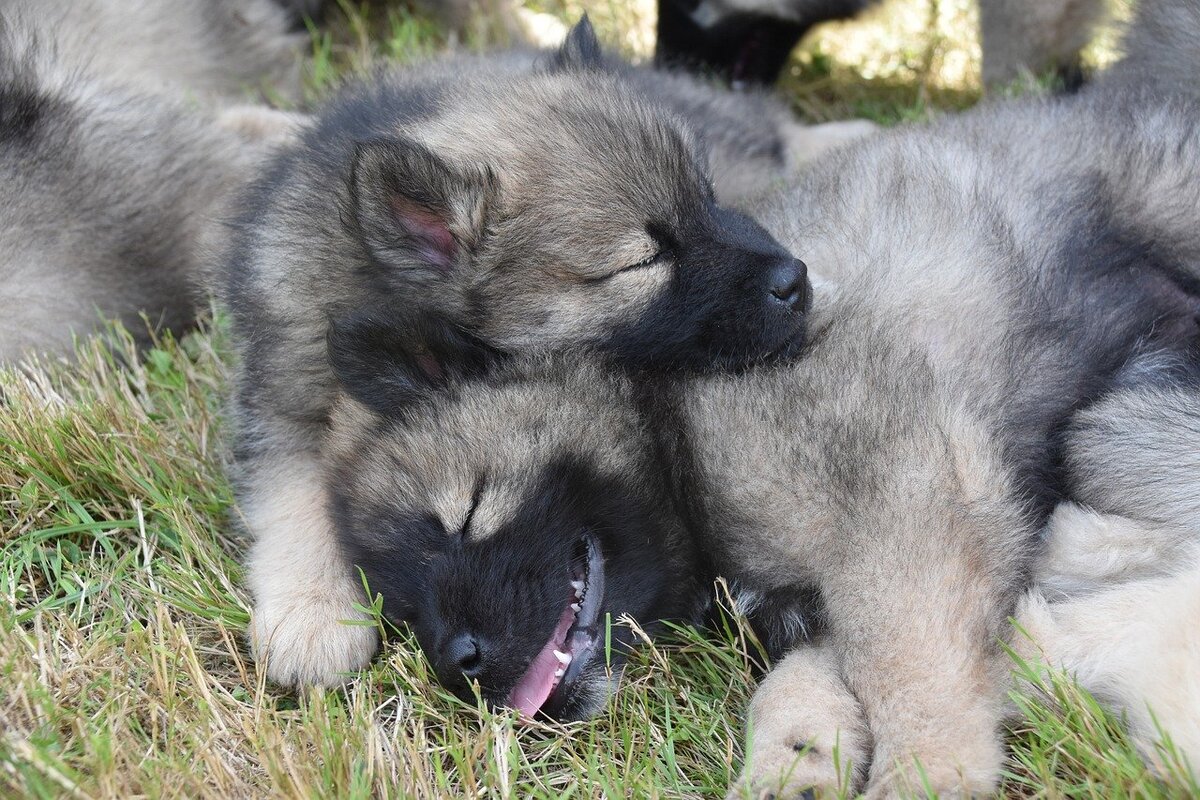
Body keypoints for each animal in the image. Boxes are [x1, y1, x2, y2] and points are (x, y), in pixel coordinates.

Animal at [225, 21, 868, 690]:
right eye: (644, 261)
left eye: (708, 200)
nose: (795, 279)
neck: (369, 287)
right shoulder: (283, 405)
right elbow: (297, 501)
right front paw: (314, 614)